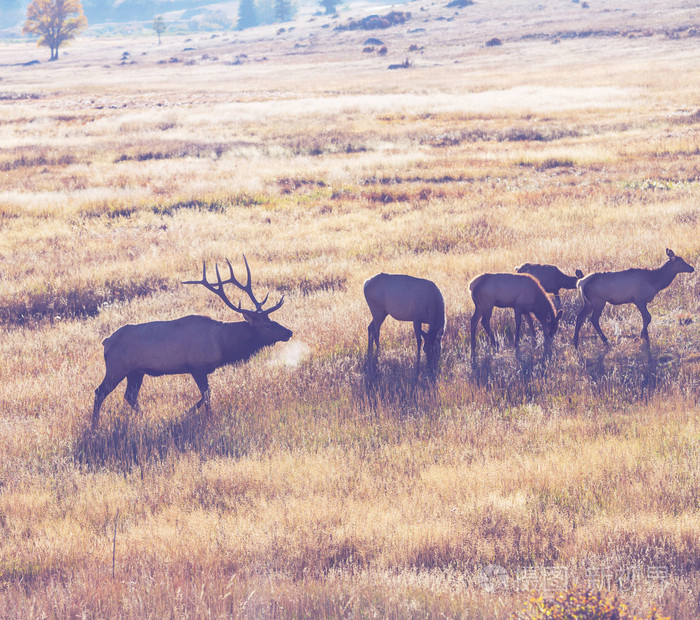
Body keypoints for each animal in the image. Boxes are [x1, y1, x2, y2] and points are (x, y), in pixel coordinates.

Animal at [91, 256, 292, 432]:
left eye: (271, 319)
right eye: (266, 325)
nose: (289, 332)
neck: (223, 344)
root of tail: (106, 342)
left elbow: (205, 395)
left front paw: (186, 412)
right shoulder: (197, 366)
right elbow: (207, 394)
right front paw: (203, 416)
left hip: (136, 371)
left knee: (130, 396)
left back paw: (145, 418)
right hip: (117, 367)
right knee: (100, 392)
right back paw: (94, 427)